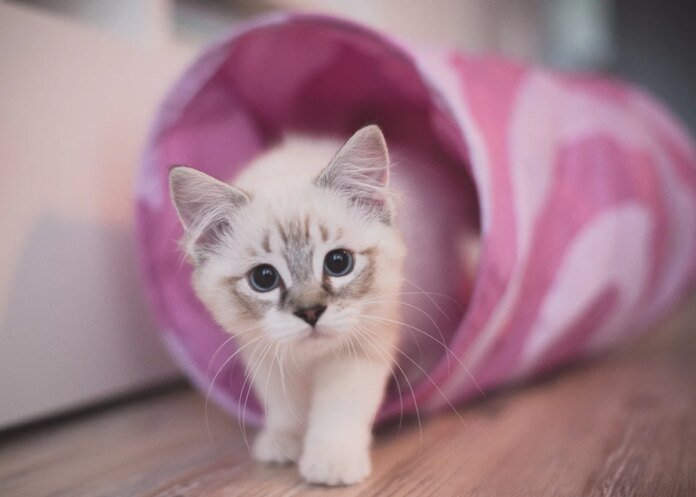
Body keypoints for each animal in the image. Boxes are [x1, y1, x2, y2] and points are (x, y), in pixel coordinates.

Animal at [169, 125, 407, 485]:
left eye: (338, 263)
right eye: (264, 278)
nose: (310, 313)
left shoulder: (359, 350)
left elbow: (339, 411)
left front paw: (330, 464)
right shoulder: (265, 353)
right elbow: (284, 406)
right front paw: (285, 443)